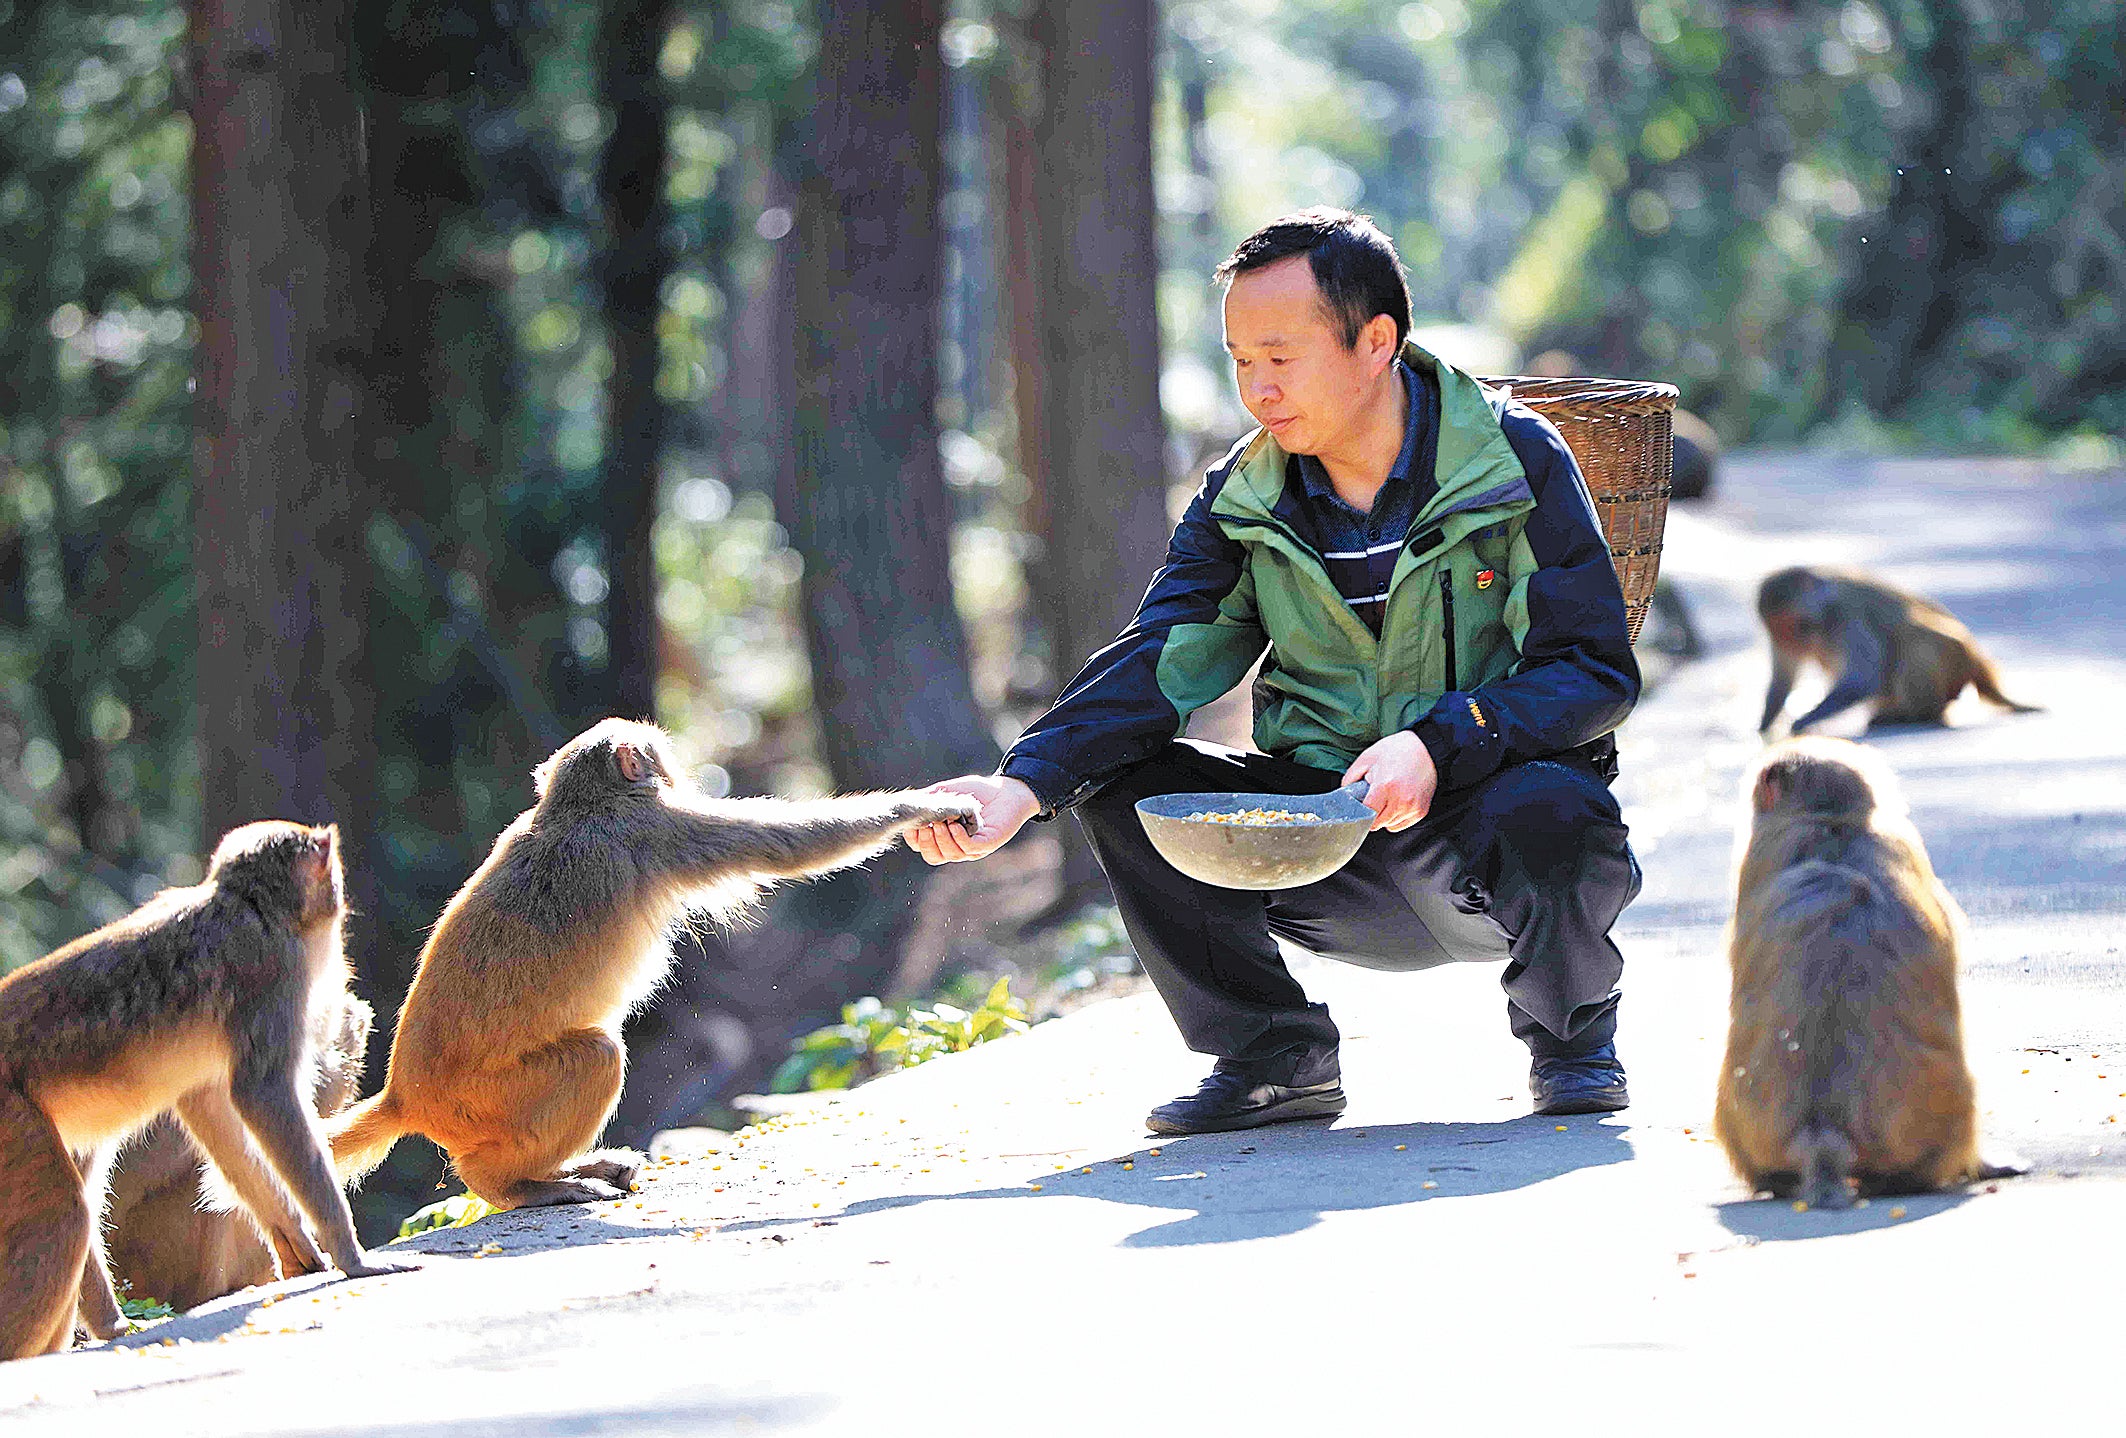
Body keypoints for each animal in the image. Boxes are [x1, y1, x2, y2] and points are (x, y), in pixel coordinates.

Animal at [327, 719, 982, 1216]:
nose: (678, 770)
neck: (578, 805)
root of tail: (406, 1095)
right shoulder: (658, 830)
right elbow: (786, 845)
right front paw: (923, 806)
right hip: (483, 1102)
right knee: (594, 1056)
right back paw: (512, 1185)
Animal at [1751, 565, 2032, 736]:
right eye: (1781, 632)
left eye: (1795, 624)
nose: (1798, 641)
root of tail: (1978, 662)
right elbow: (1783, 679)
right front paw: (1765, 725)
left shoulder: (1846, 616)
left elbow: (1864, 679)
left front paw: (1804, 720)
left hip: (1956, 663)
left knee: (1915, 639)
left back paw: (1917, 714)